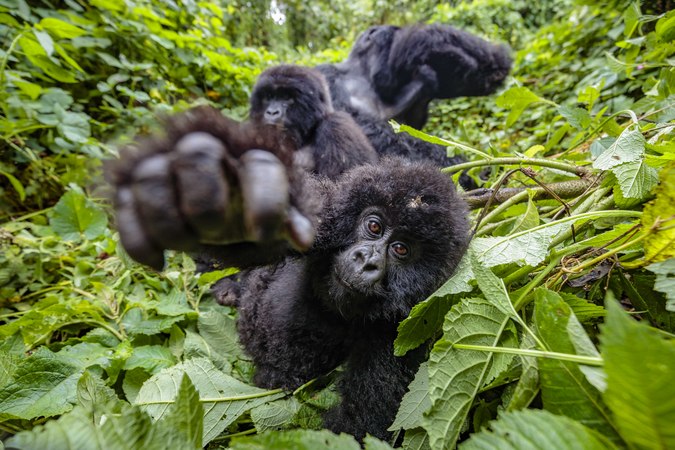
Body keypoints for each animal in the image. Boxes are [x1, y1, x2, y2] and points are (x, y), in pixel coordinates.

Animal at [109, 107, 470, 442]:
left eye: (401, 250)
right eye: (373, 226)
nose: (366, 260)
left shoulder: (406, 329)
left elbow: (358, 426)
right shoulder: (327, 215)